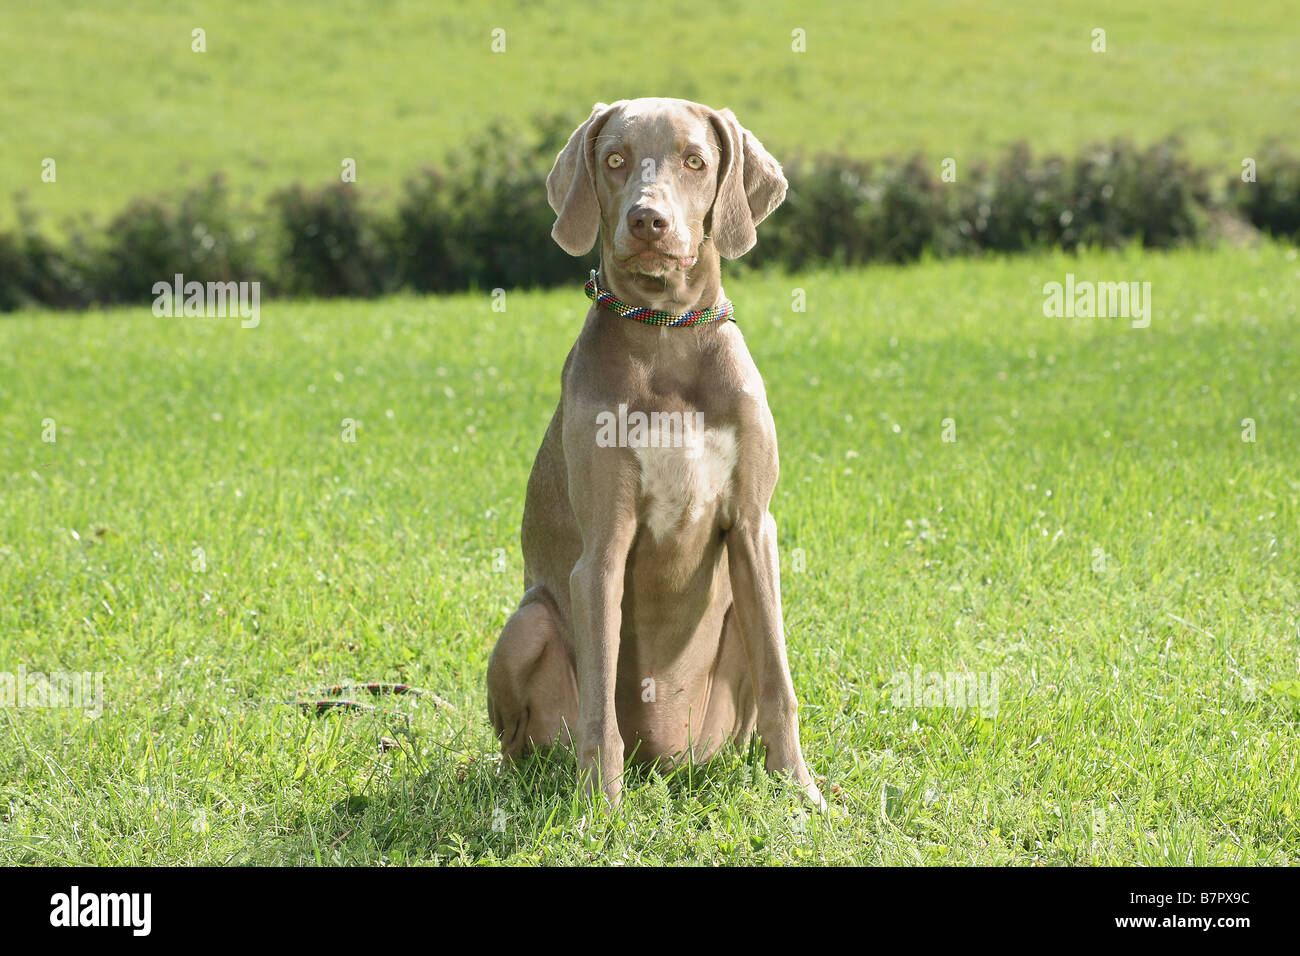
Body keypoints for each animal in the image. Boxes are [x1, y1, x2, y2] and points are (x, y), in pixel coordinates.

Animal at [488, 100, 821, 811]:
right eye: (615, 158)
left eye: (695, 159)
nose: (648, 220)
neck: (667, 336)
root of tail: (665, 759)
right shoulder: (603, 549)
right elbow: (599, 708)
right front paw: (600, 808)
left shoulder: (754, 527)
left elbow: (781, 682)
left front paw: (802, 791)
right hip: (530, 622)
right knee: (522, 740)